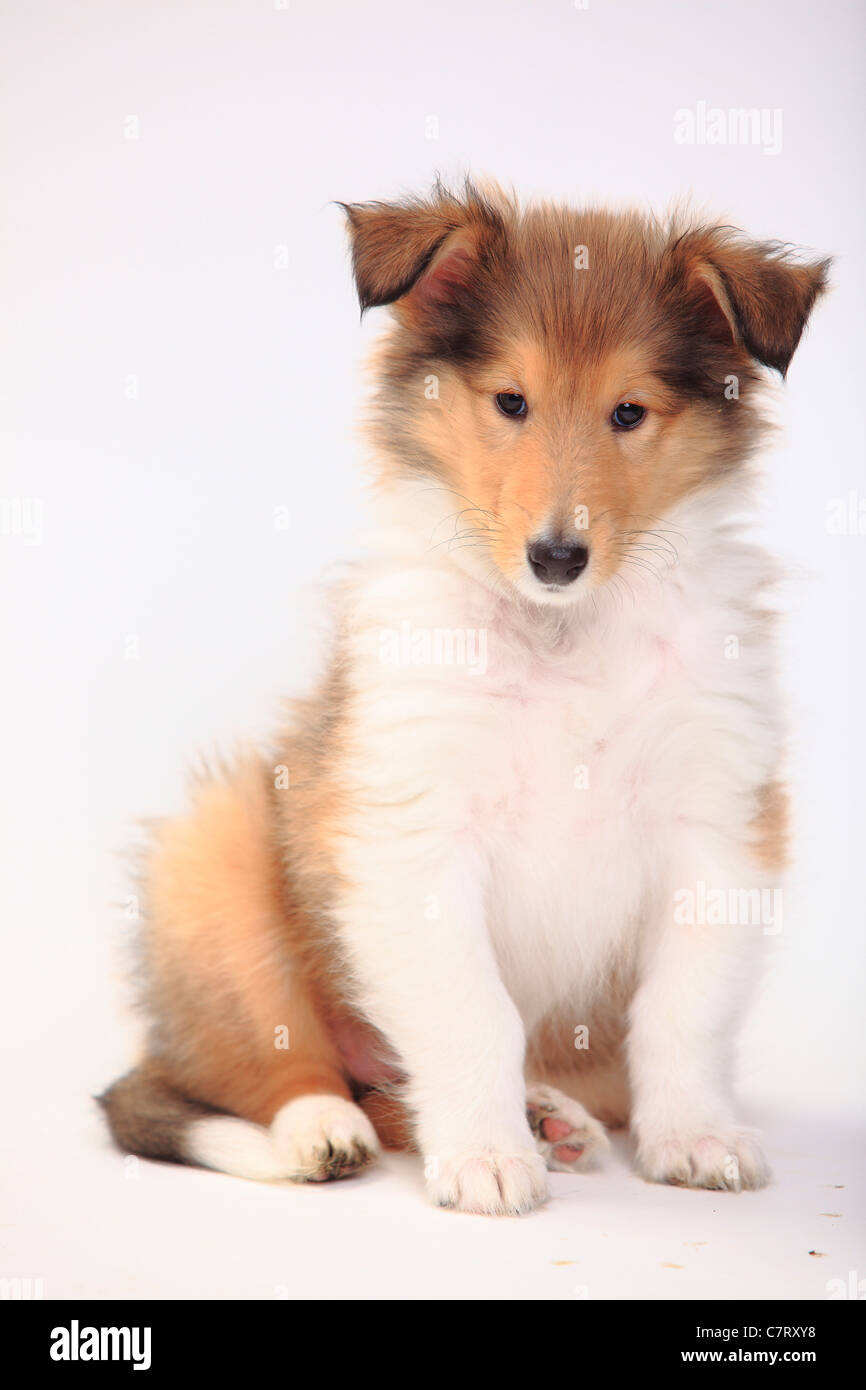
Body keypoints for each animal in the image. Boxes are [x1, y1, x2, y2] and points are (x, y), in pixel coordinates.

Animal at [97, 179, 828, 1212]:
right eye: (510, 402)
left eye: (630, 413)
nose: (557, 556)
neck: (563, 634)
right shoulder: (411, 827)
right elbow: (472, 1010)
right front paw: (484, 1156)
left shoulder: (717, 825)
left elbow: (684, 1008)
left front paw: (695, 1137)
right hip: (217, 864)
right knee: (262, 1068)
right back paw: (328, 1131)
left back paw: (554, 1119)